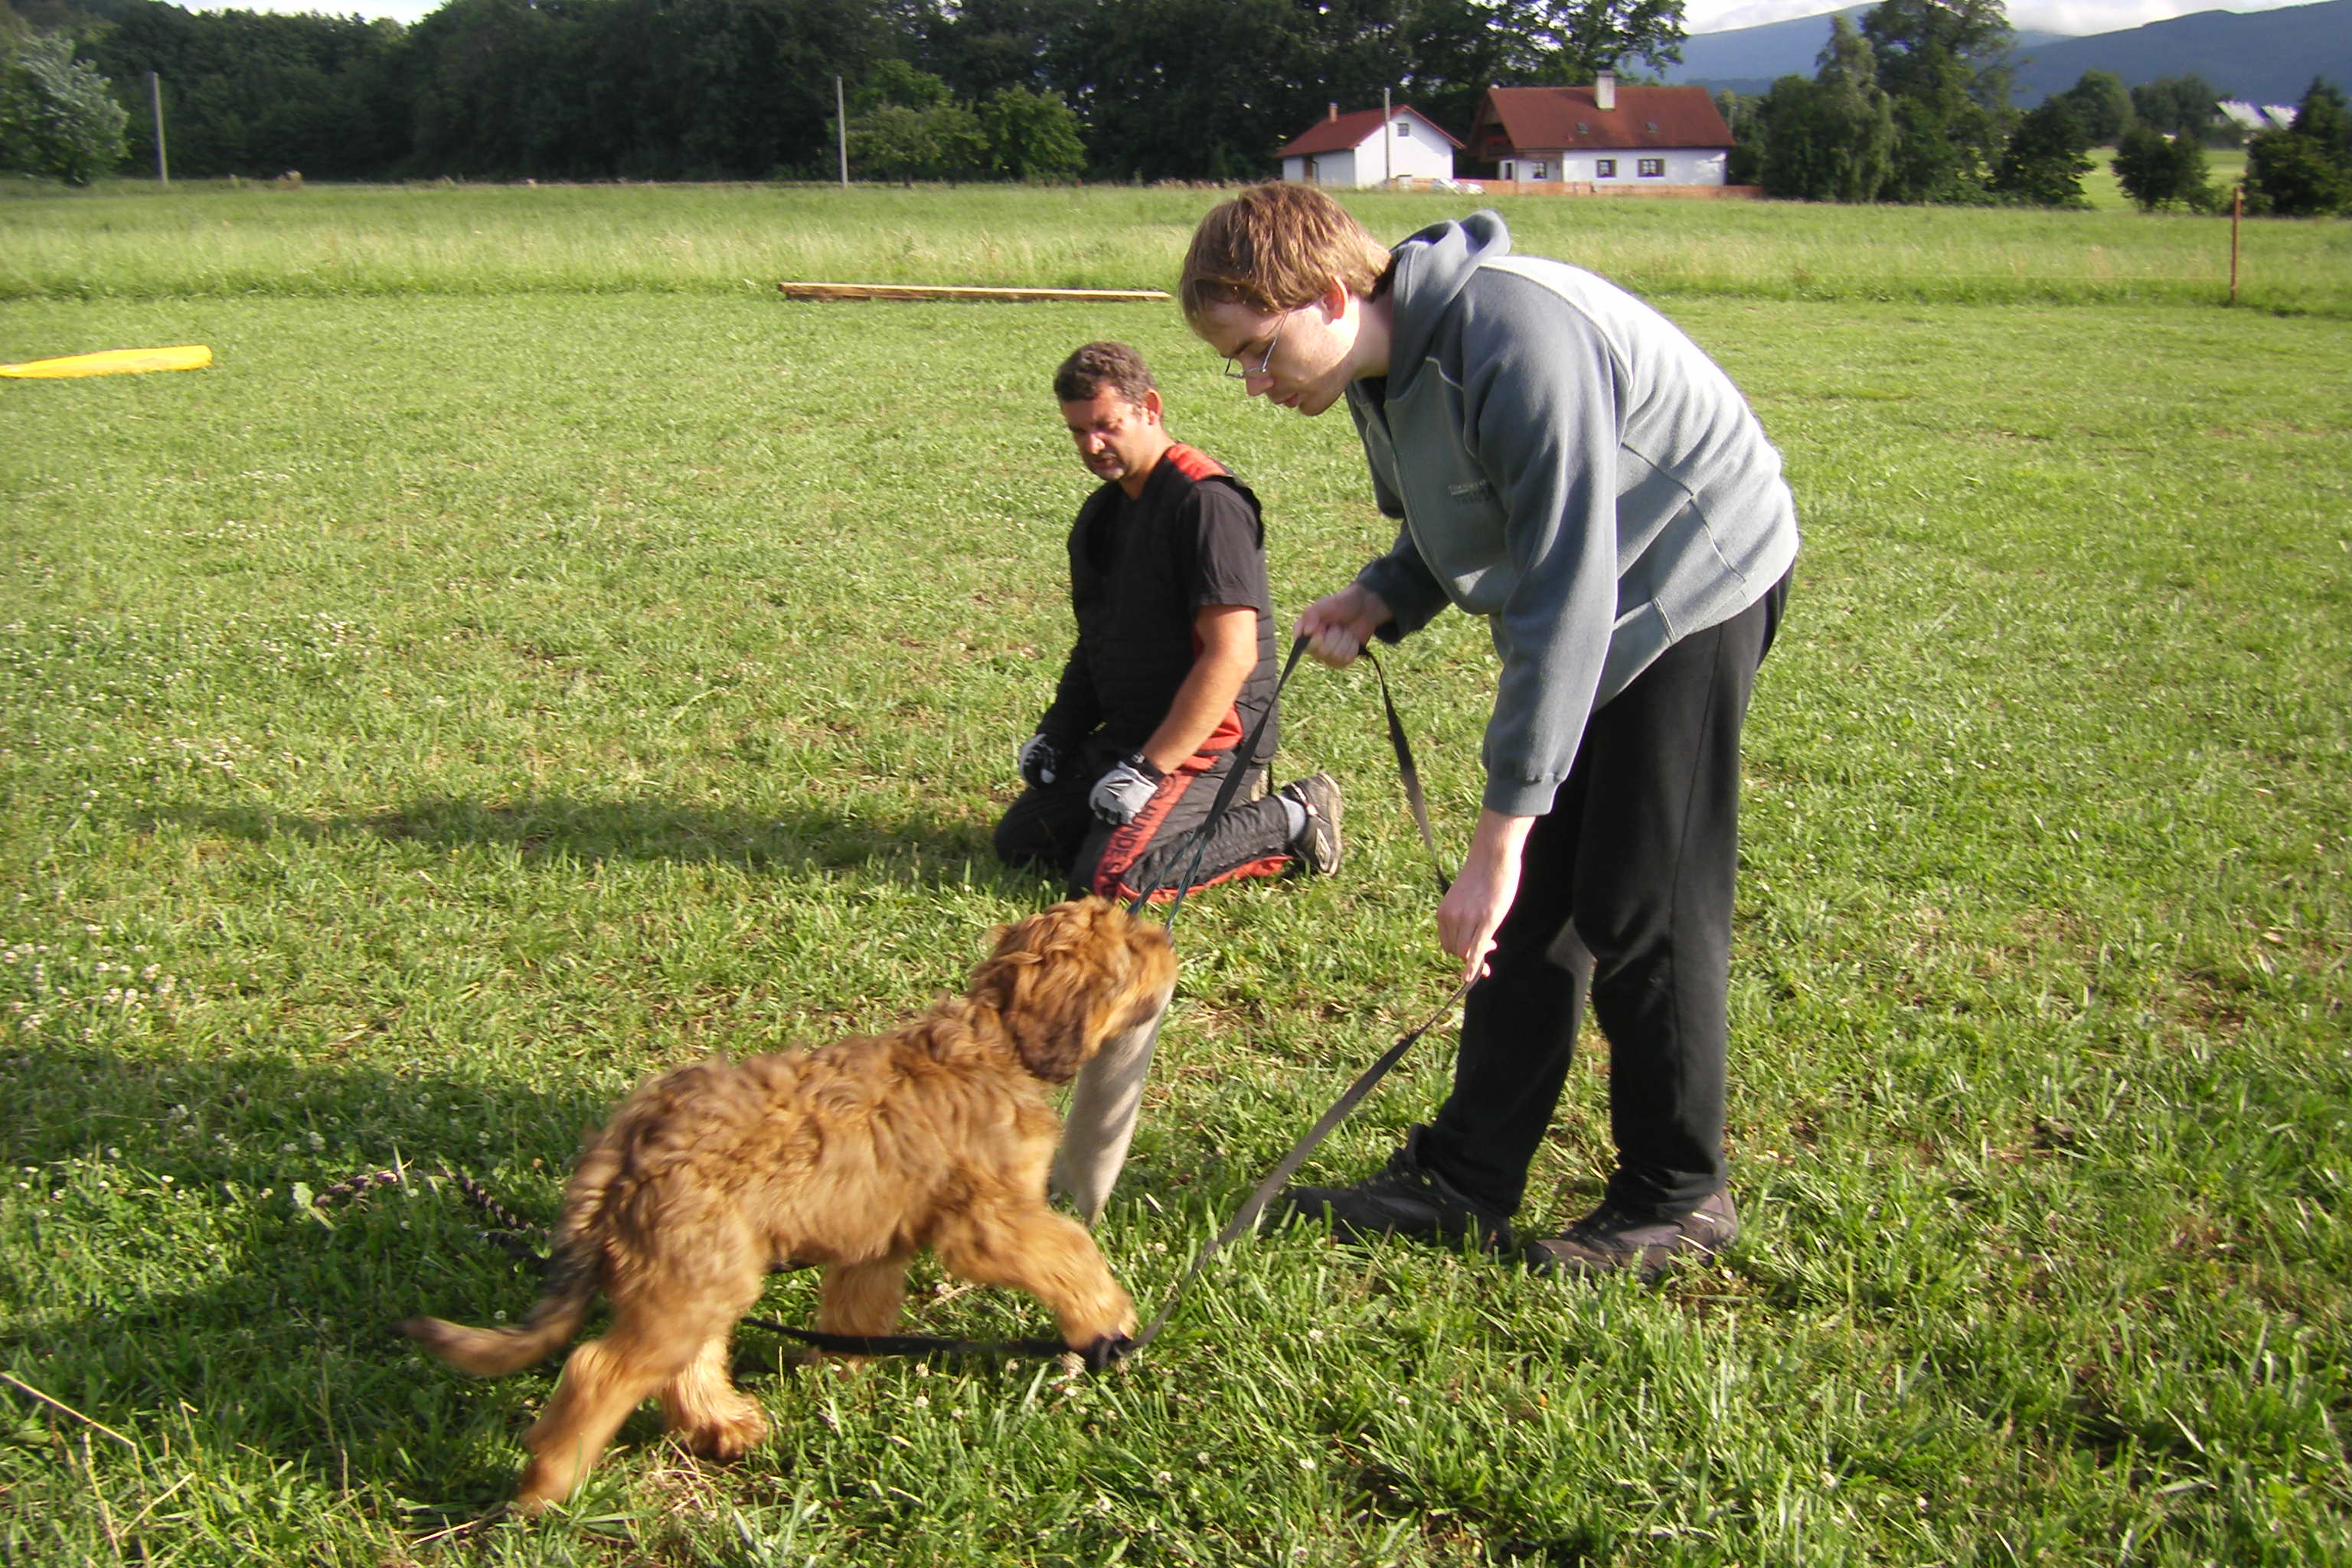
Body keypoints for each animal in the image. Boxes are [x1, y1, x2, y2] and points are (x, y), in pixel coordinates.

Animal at [409, 903, 1176, 1514]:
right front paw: (1108, 1319)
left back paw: (721, 1423)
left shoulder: (876, 1243)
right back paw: (549, 1484)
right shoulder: (992, 1225)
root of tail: (629, 1133)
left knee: (684, 1359)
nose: (1166, 939)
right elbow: (1072, 1250)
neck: (994, 1042)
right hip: (695, 1274)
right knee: (600, 1372)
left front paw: (836, 1377)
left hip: (698, 1271)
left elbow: (856, 1313)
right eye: (1133, 947)